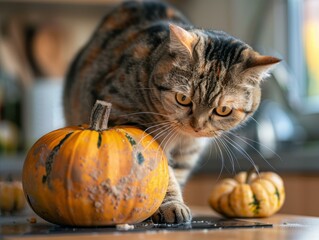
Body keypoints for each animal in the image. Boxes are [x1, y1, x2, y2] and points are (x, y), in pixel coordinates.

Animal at [63, 0, 282, 225]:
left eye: (223, 110)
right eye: (183, 99)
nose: (197, 126)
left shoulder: (188, 151)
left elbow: (175, 172)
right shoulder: (124, 113)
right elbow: (161, 172)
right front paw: (169, 205)